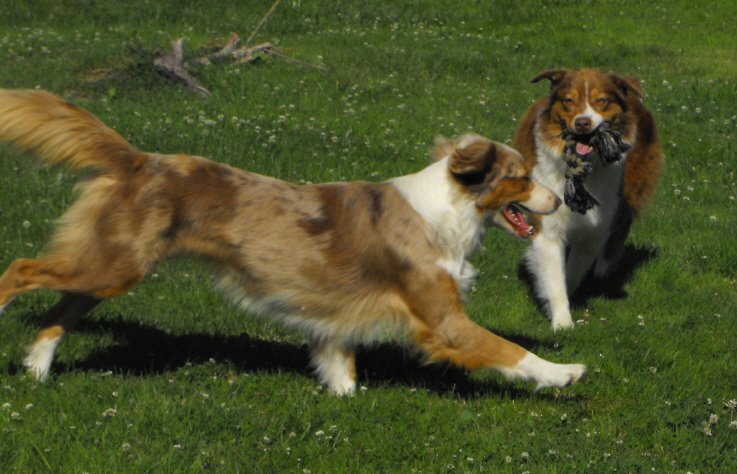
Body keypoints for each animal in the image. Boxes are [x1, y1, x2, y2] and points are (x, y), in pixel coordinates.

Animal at [0, 89, 588, 392]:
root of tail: (138, 158)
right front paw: (564, 373)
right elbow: (509, 349)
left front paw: (345, 400)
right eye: (520, 178)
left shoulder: (338, 316)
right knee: (21, 268)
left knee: (61, 309)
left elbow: (340, 364)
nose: (560, 203)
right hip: (114, 266)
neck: (448, 209)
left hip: (111, 265)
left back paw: (37, 371)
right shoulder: (443, 320)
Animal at [512, 68, 660, 332]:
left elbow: (572, 272)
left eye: (601, 100)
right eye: (569, 101)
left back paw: (604, 267)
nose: (582, 122)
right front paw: (562, 321)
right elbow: (555, 278)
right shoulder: (548, 226)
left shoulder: (597, 228)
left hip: (630, 188)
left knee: (623, 224)